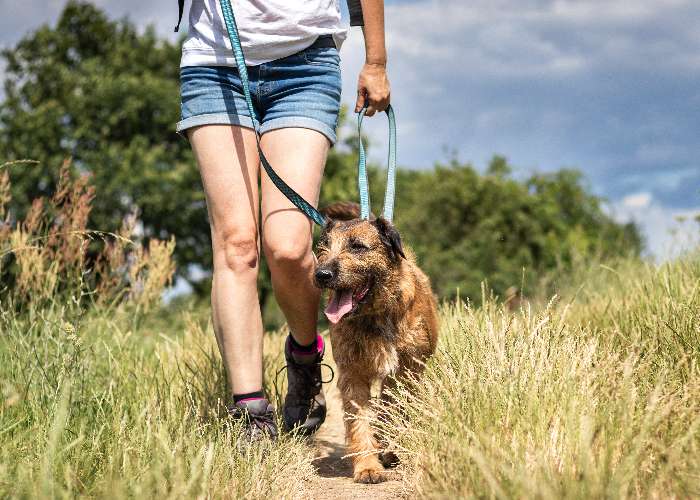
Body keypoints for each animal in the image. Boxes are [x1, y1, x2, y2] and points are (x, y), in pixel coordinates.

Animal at [314, 201, 438, 482]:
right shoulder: (352, 374)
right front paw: (368, 466)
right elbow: (360, 420)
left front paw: (391, 450)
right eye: (322, 248)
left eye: (357, 247)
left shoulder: (407, 371)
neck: (374, 315)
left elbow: (397, 410)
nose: (321, 274)